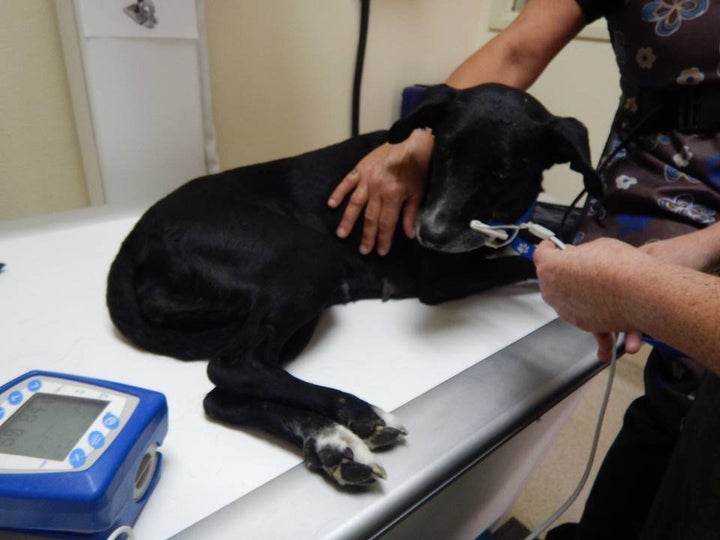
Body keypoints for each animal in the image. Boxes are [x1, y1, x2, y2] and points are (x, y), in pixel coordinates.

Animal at [107, 83, 600, 486]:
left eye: (501, 173)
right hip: (311, 258)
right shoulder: (442, 278)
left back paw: (330, 444)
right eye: (443, 153)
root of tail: (134, 240)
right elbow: (532, 262)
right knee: (234, 366)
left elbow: (562, 222)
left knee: (221, 396)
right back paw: (356, 416)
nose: (428, 234)